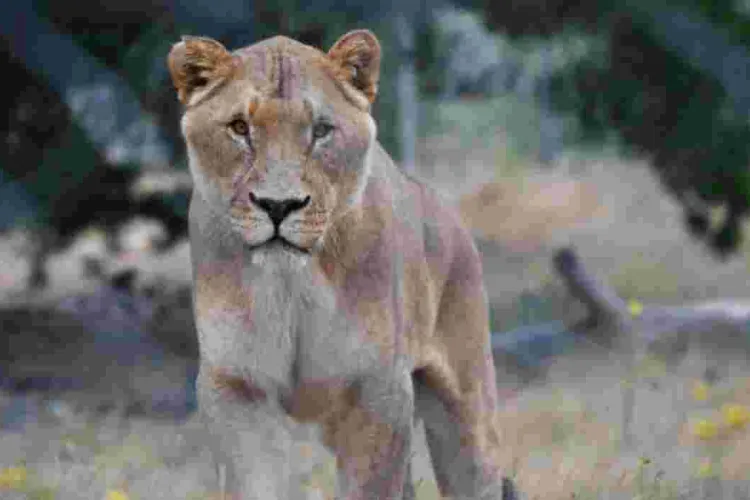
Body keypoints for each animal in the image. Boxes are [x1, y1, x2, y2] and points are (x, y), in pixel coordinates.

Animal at [168, 30, 519, 499]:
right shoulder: (236, 386)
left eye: (320, 131)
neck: (291, 286)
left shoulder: (376, 390)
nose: (278, 205)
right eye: (240, 128)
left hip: (465, 413)